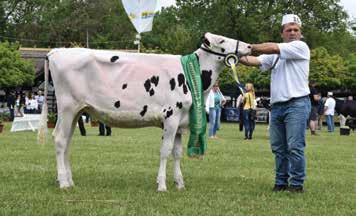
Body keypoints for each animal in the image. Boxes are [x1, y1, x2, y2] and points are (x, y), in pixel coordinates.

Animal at [37, 32, 252, 191]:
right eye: (222, 40)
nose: (249, 46)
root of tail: (56, 51)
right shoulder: (171, 116)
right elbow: (165, 151)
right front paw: (162, 185)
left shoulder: (180, 123)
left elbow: (177, 153)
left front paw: (179, 183)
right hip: (67, 107)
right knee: (60, 139)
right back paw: (63, 183)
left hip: (77, 111)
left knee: (67, 142)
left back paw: (69, 181)